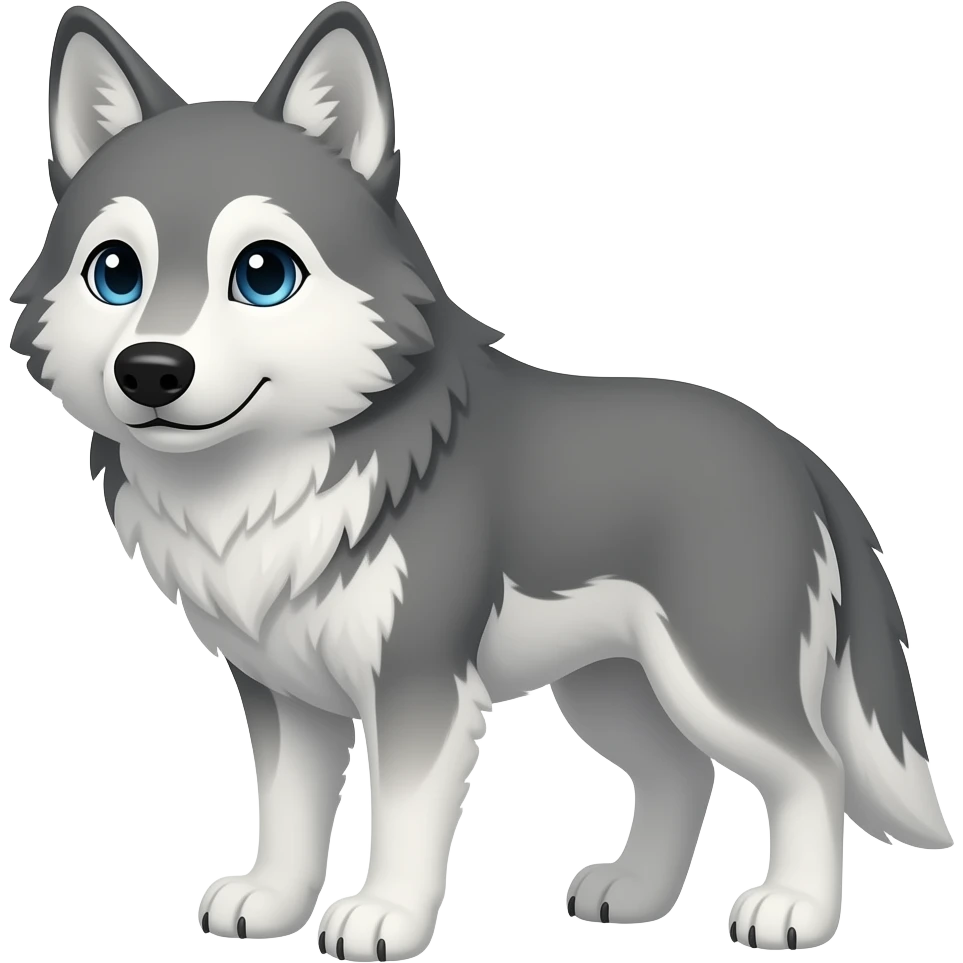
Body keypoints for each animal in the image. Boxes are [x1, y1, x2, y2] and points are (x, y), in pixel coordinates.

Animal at [11, 2, 952, 958]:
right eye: (115, 272)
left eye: (263, 273)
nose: (150, 371)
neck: (264, 484)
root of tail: (793, 449)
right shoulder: (284, 691)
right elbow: (288, 812)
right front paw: (271, 902)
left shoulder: (418, 681)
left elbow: (401, 815)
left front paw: (384, 914)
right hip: (610, 686)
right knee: (683, 772)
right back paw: (636, 892)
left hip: (715, 674)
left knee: (810, 769)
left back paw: (794, 907)